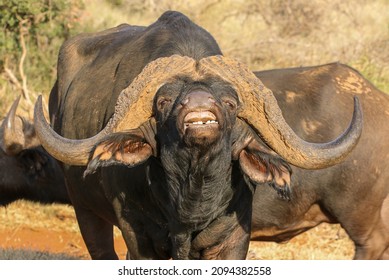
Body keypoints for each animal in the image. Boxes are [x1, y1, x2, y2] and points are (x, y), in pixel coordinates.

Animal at [32, 10, 360, 260]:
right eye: (164, 100)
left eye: (230, 101)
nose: (199, 103)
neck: (191, 197)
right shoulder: (137, 236)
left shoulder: (233, 239)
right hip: (85, 211)